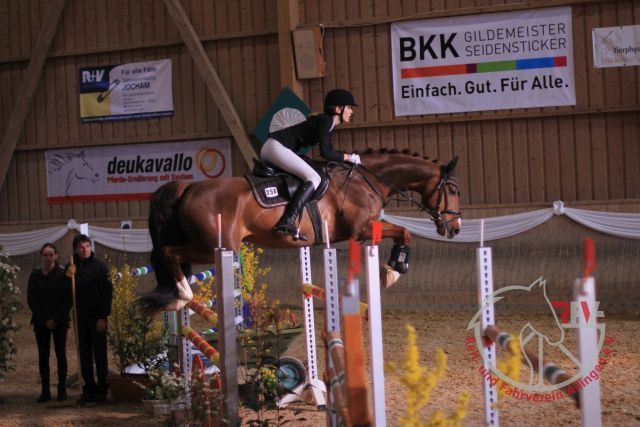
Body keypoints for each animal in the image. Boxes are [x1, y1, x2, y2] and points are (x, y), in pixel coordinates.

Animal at [139, 148, 462, 314]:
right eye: (453, 191)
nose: (456, 228)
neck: (368, 180)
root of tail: (187, 187)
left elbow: (404, 232)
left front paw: (392, 267)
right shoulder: (361, 229)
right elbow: (406, 232)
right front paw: (394, 270)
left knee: (168, 255)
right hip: (215, 246)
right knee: (168, 253)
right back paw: (182, 295)